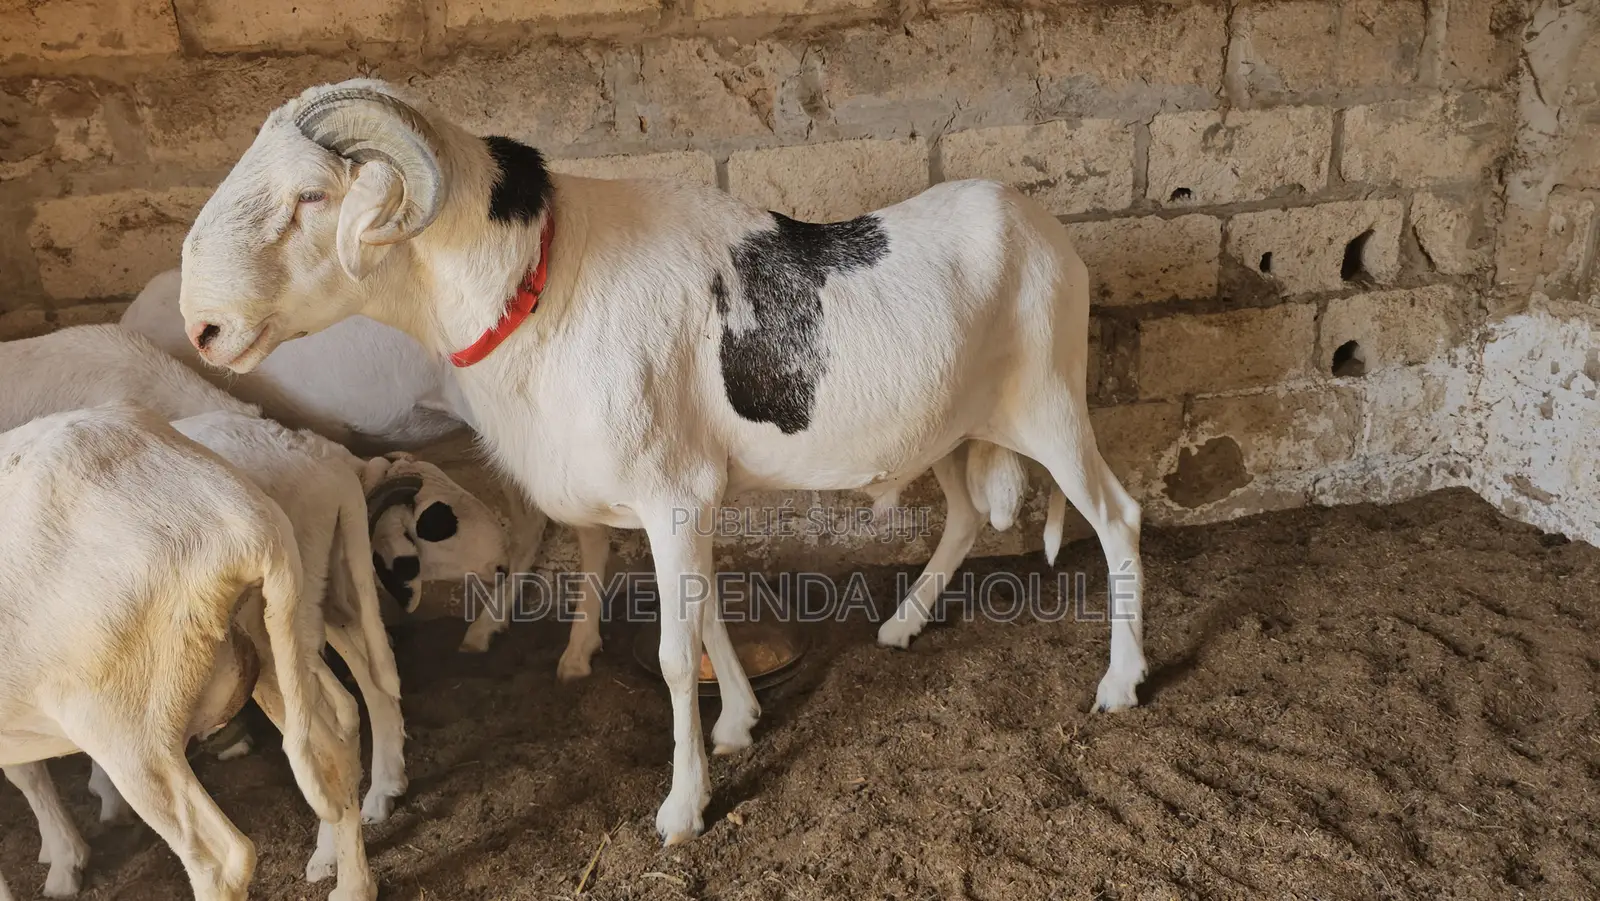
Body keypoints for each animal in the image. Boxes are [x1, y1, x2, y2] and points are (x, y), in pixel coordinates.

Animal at [0, 403, 374, 901]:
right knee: (335, 748)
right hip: (274, 646)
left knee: (223, 859)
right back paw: (354, 885)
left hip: (127, 727)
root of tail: (237, 517)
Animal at [176, 78, 1146, 845]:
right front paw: (740, 725)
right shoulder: (689, 499)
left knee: (1118, 519)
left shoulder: (672, 495)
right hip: (949, 429)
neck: (545, 289)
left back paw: (1121, 682)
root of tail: (1042, 222)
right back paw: (903, 625)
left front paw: (683, 808)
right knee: (967, 516)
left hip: (1052, 406)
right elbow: (708, 613)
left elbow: (679, 655)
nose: (204, 327)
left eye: (310, 196)